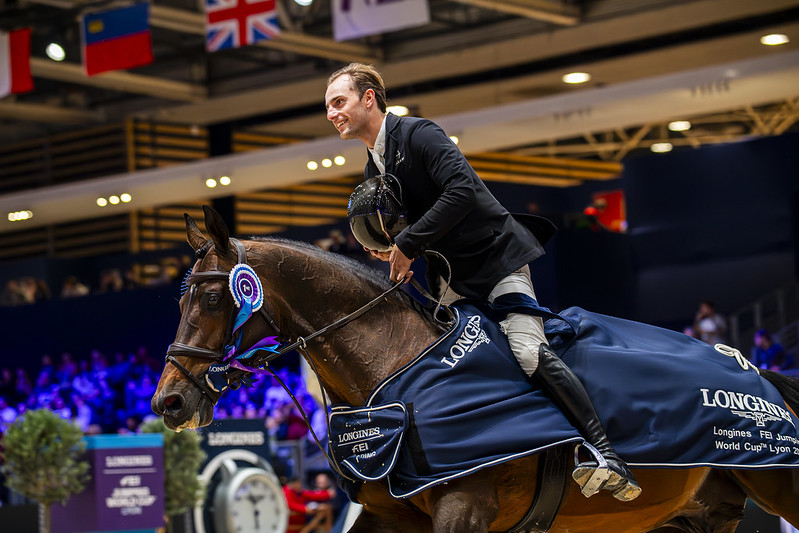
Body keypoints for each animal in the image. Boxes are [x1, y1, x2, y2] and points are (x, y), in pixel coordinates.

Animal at [152, 207, 799, 532]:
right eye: (180, 298)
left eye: (212, 298)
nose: (168, 404)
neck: (396, 376)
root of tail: (757, 372)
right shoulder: (390, 520)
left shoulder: (466, 510)